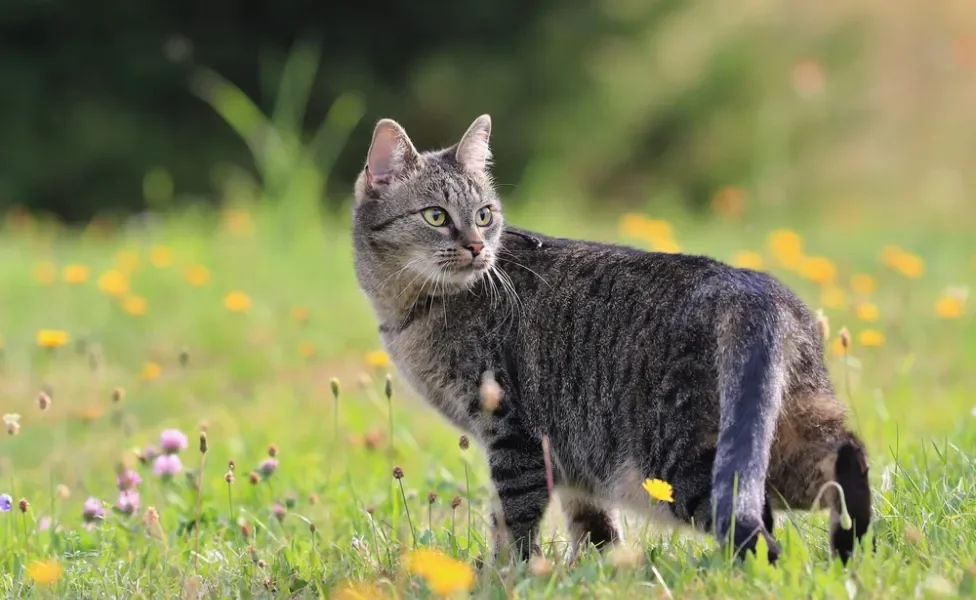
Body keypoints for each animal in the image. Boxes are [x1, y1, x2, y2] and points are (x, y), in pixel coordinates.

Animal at [350, 115, 868, 564]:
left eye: (483, 215)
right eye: (437, 216)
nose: (477, 246)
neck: (412, 307)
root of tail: (754, 288)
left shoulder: (515, 435)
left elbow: (512, 523)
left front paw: (503, 576)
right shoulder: (571, 458)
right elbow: (594, 528)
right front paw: (598, 570)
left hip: (678, 460)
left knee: (760, 532)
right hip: (789, 431)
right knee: (845, 457)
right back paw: (851, 546)